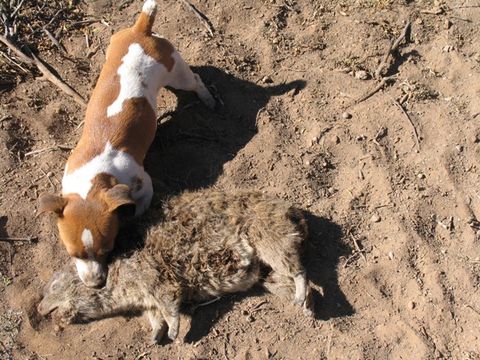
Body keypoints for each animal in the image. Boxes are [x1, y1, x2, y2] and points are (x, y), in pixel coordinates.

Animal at [38, 0, 215, 286]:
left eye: (107, 250)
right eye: (73, 254)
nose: (94, 284)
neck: (94, 179)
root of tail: (141, 30)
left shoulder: (144, 185)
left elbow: (139, 208)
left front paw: (133, 220)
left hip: (177, 74)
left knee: (196, 80)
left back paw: (207, 99)